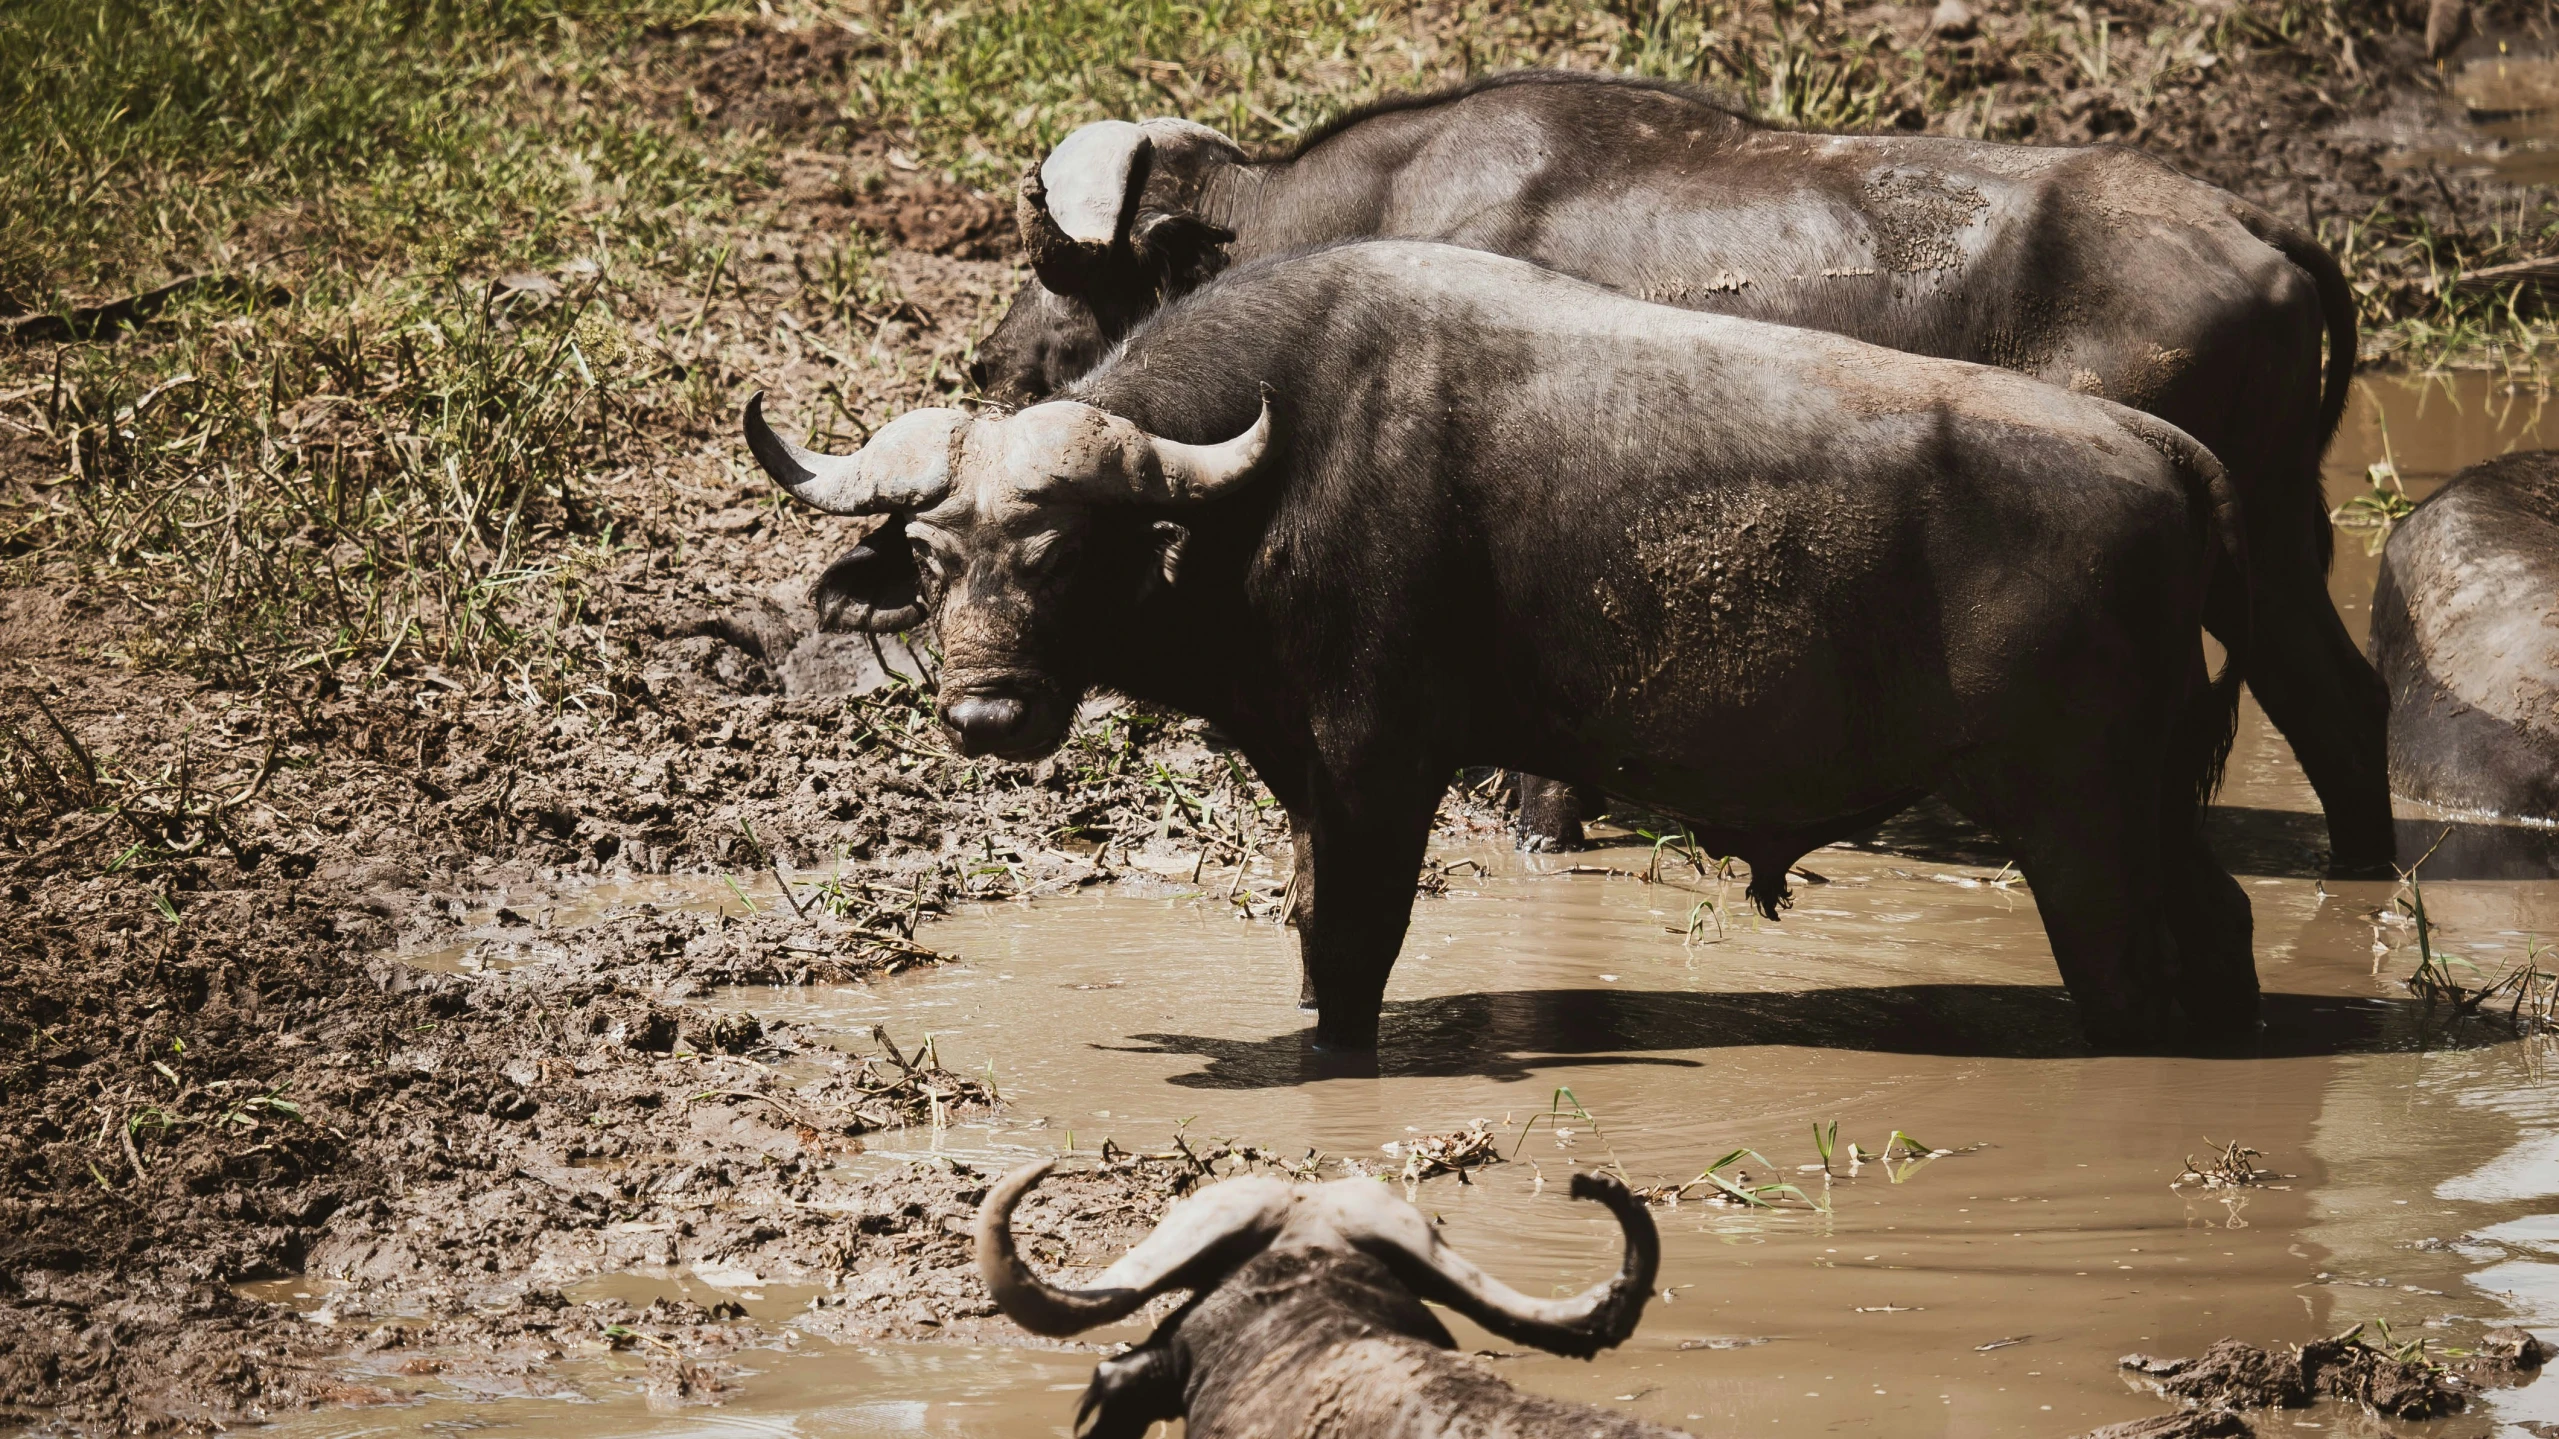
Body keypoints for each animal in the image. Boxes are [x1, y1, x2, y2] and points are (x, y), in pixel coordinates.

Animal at [752, 238, 2262, 1039]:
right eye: (933, 556)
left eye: (1061, 550)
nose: (987, 714)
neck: (1273, 474)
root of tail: (2159, 451)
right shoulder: (1309, 775)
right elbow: (1313, 935)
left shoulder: (1379, 766)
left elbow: (1352, 949)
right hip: (2140, 806)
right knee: (2224, 920)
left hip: (2075, 817)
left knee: (2125, 976)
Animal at [967, 67, 2384, 870]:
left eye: (1061, 268)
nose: (991, 361)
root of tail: (2248, 220)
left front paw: (1543, 825)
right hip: (2273, 541)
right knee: (2342, 701)